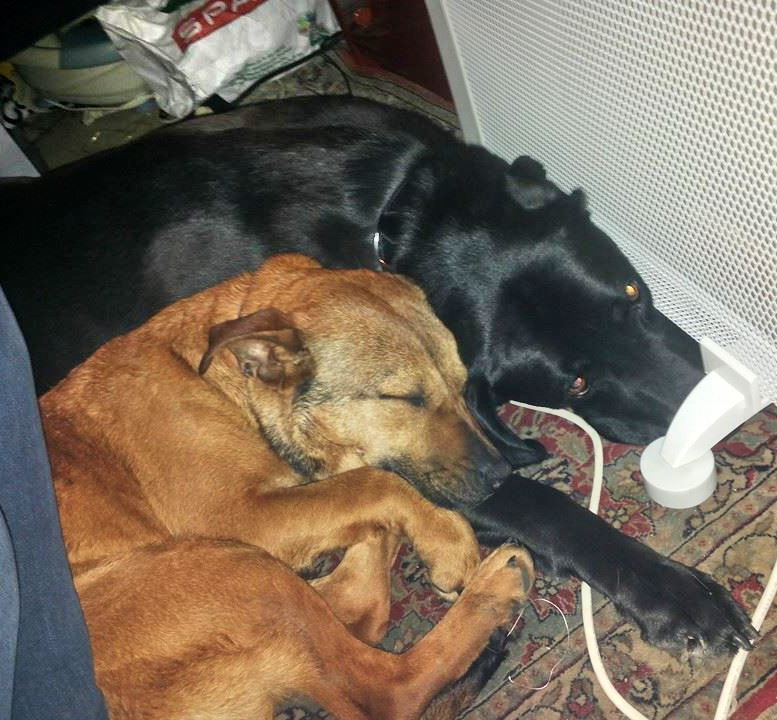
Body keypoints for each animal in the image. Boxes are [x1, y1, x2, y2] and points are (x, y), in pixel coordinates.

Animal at [41, 253, 535, 719]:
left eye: (462, 384)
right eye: (403, 398)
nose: (501, 476)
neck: (228, 385)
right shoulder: (241, 516)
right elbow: (374, 482)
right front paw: (448, 536)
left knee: (360, 611)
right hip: (226, 563)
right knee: (389, 687)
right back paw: (492, 589)